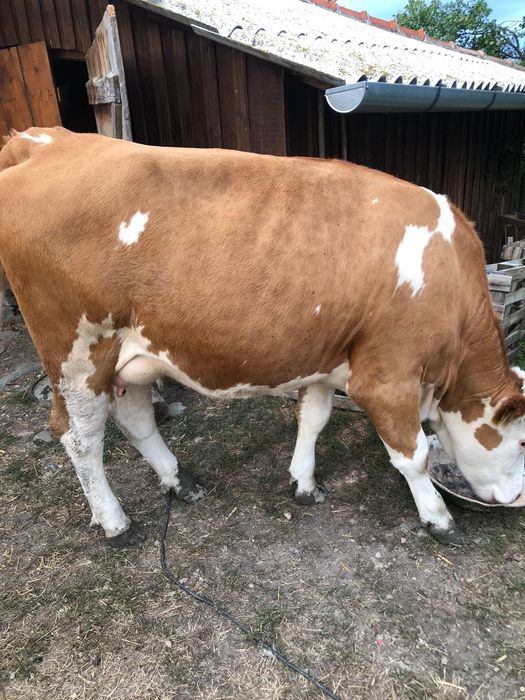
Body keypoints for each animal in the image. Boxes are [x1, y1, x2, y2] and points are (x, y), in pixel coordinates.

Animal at [1, 126, 524, 546]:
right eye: (521, 444)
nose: (515, 496)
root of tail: (46, 141)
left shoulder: (326, 357)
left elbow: (313, 420)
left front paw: (304, 483)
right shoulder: (386, 375)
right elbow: (413, 455)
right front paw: (438, 517)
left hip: (131, 354)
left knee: (134, 417)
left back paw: (178, 480)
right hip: (76, 351)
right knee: (80, 436)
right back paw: (115, 523)